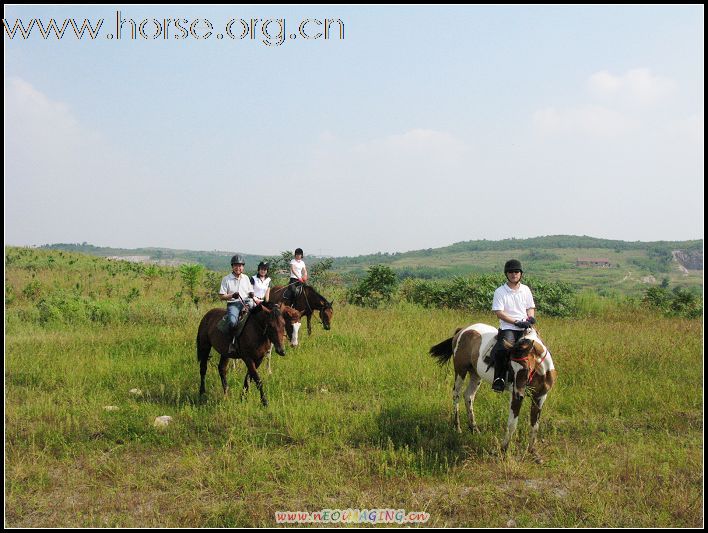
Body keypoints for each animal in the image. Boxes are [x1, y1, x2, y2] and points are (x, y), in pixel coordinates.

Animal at [428, 322, 556, 460]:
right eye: (510, 368)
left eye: (526, 368)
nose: (519, 394)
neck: (540, 371)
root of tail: (463, 330)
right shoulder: (515, 396)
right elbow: (512, 424)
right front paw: (504, 450)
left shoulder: (540, 396)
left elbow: (535, 425)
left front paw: (533, 452)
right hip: (460, 370)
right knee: (456, 395)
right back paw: (457, 427)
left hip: (476, 374)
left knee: (468, 396)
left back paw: (474, 429)